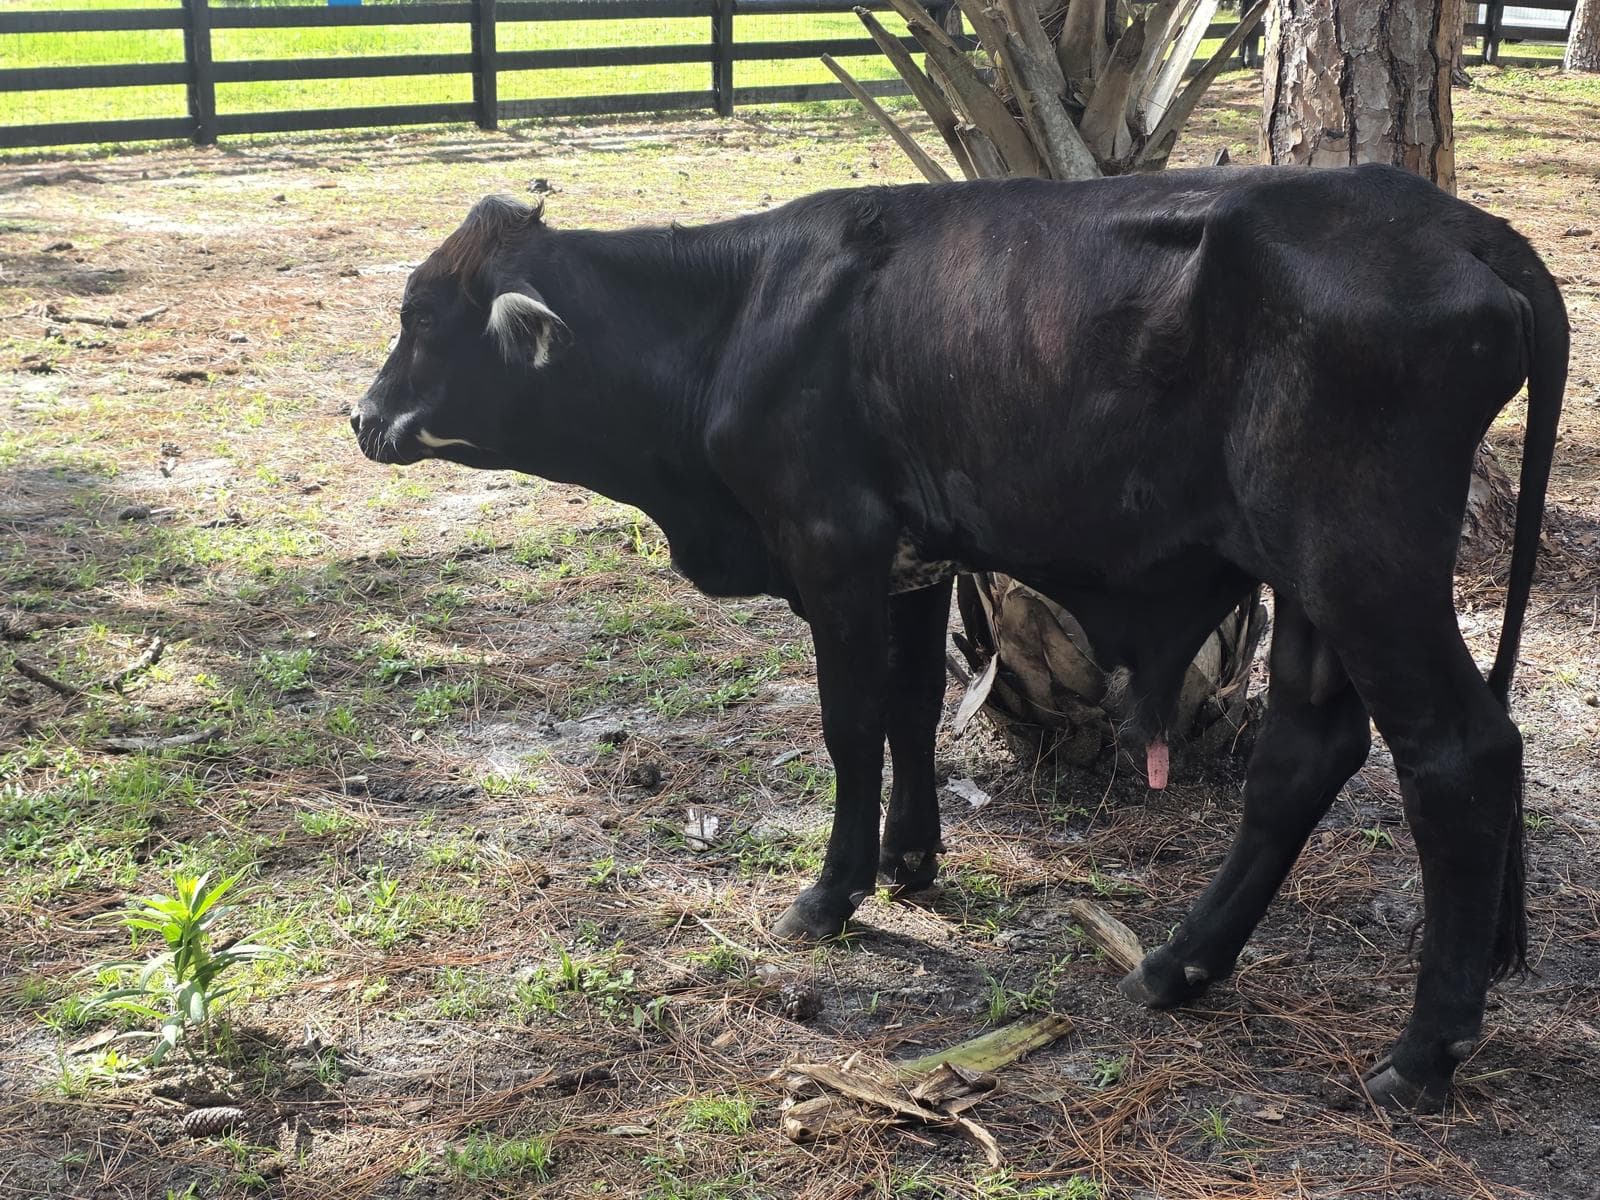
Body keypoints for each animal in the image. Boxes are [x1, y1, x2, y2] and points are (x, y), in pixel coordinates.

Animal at [351, 164, 1567, 1112]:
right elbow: (911, 711)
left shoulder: (832, 549)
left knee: (1458, 756)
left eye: (425, 320)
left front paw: (832, 891)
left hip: (1362, 565)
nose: (361, 419)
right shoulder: (912, 564)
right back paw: (1179, 964)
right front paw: (911, 858)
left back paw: (1421, 1054)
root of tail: (1456, 222)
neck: (732, 318)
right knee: (1305, 752)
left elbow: (850, 727)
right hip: (1308, 580)